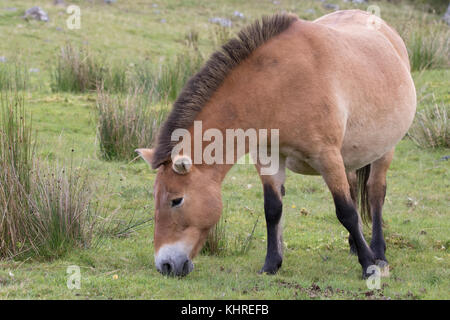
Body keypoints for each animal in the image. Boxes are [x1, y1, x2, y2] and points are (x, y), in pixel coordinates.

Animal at [135, 10, 416, 278]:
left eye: (176, 200)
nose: (165, 265)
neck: (278, 86)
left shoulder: (327, 156)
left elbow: (345, 211)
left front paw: (369, 265)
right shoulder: (268, 157)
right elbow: (272, 209)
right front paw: (271, 264)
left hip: (384, 151)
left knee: (375, 193)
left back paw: (378, 253)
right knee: (355, 188)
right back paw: (354, 246)